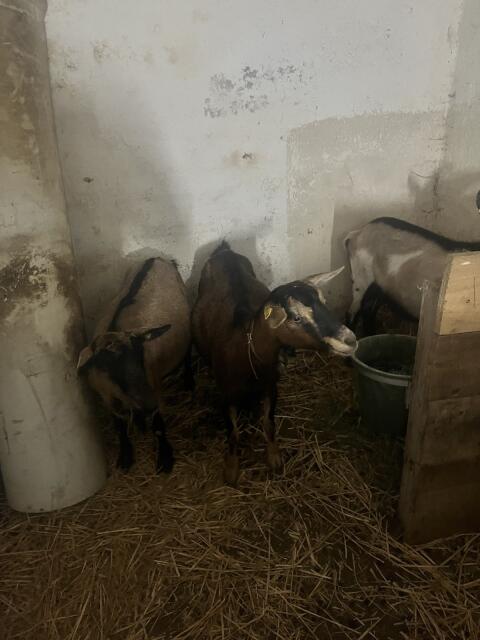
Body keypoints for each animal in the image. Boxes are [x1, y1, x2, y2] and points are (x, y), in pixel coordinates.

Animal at [78, 257, 192, 472]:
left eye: (140, 357)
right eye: (107, 365)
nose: (148, 404)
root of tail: (157, 258)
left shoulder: (153, 386)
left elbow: (158, 425)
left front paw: (165, 458)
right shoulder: (108, 397)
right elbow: (120, 426)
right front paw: (125, 456)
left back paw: (189, 384)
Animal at [192, 241, 357, 486]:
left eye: (324, 304)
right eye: (296, 318)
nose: (350, 340)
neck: (246, 354)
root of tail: (224, 250)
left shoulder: (271, 386)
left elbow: (269, 423)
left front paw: (274, 458)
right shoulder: (226, 394)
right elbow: (233, 433)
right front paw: (231, 469)